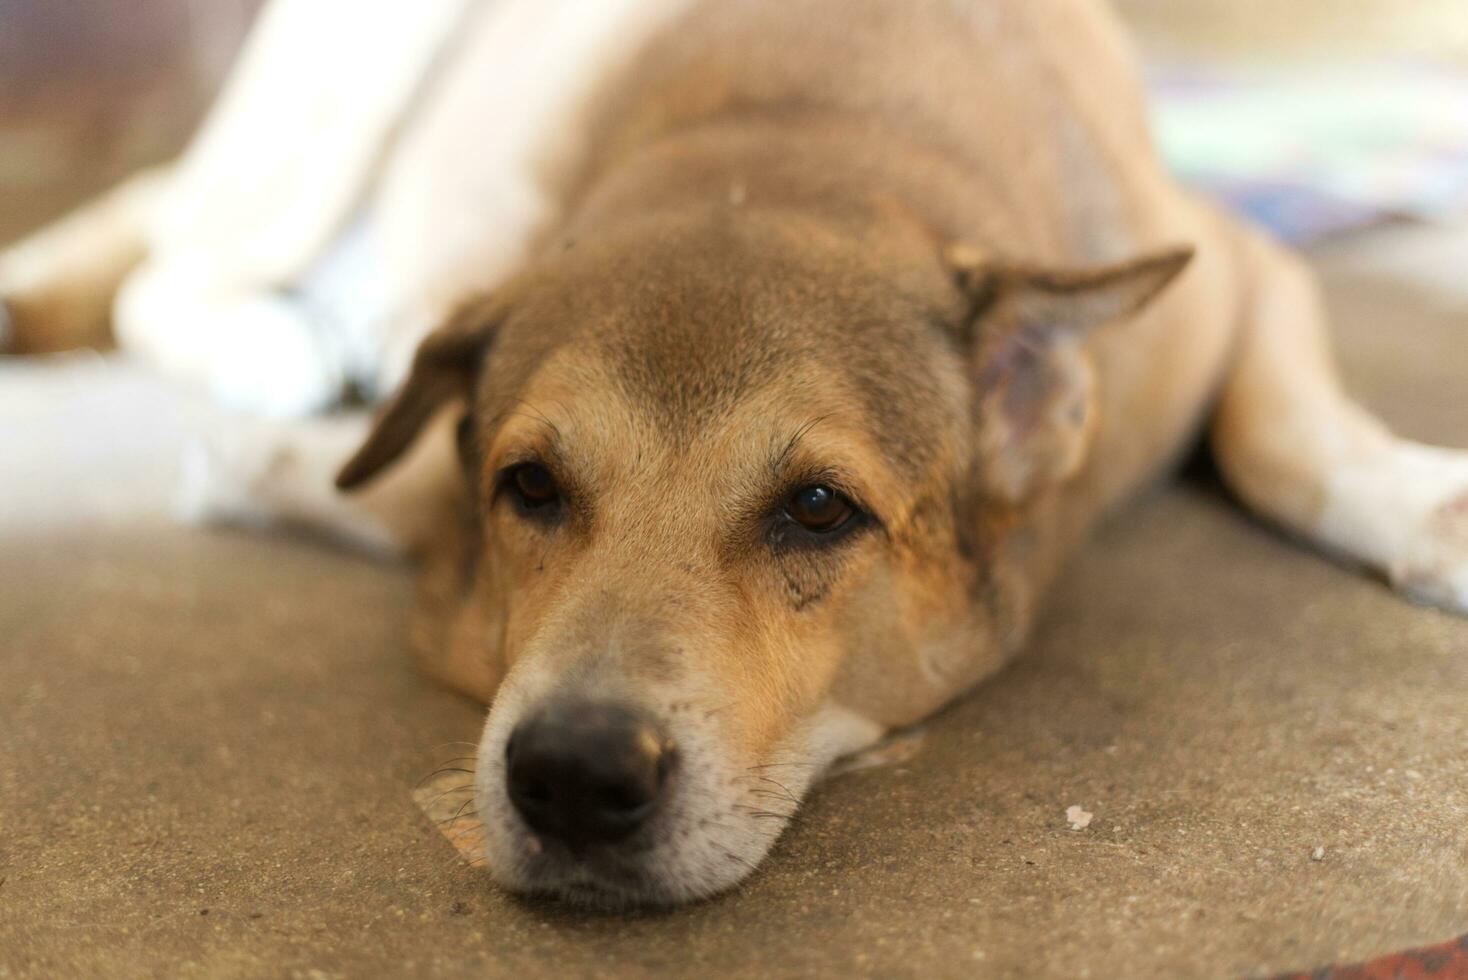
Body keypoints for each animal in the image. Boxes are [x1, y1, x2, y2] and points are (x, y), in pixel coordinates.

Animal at [2, 0, 1468, 909]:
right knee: (170, 255)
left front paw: (1429, 508)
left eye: (817, 508)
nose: (574, 776)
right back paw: (270, 341)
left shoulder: (1232, 261)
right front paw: (260, 461)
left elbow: (1280, 434)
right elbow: (354, 484)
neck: (794, 136)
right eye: (530, 486)